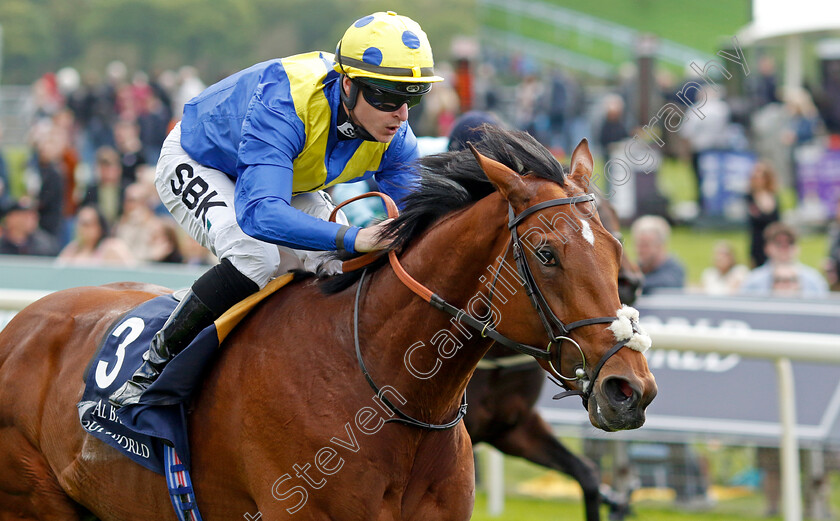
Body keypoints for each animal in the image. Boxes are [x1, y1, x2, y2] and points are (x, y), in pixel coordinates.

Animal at [466, 196, 644, 520]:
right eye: (546, 255)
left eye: (613, 216)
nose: (631, 282)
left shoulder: (511, 428)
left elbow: (588, 475)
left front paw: (616, 501)